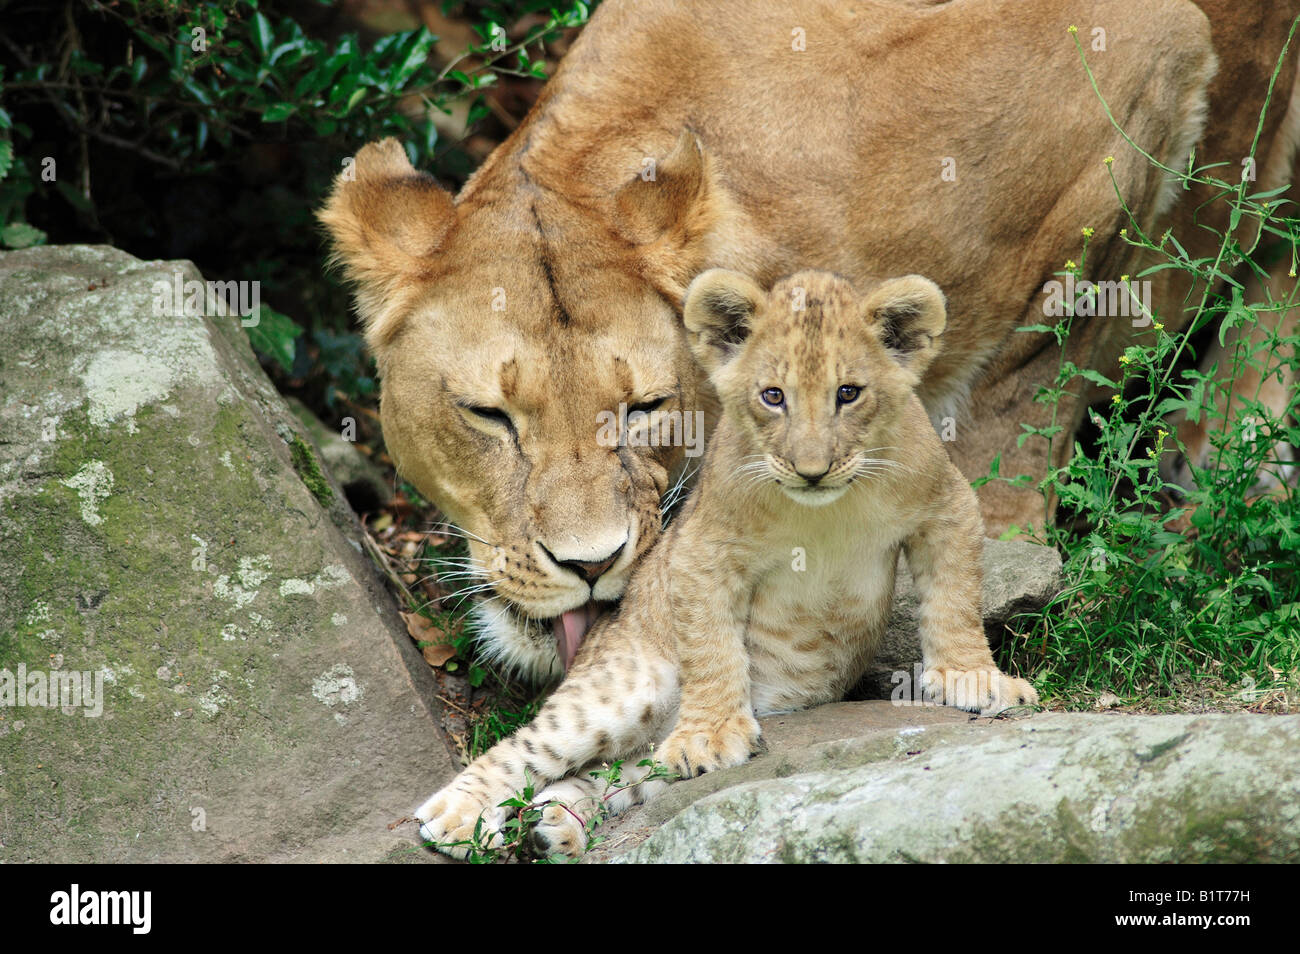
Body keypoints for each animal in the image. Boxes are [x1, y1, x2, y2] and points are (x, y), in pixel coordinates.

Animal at [414, 269, 1038, 859]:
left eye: (848, 392)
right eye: (773, 396)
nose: (812, 469)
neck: (827, 509)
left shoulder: (948, 508)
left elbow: (956, 601)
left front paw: (974, 680)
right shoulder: (702, 545)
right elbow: (713, 645)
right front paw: (710, 735)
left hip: (643, 760)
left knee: (601, 773)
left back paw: (556, 825)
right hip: (625, 687)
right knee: (526, 748)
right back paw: (456, 817)